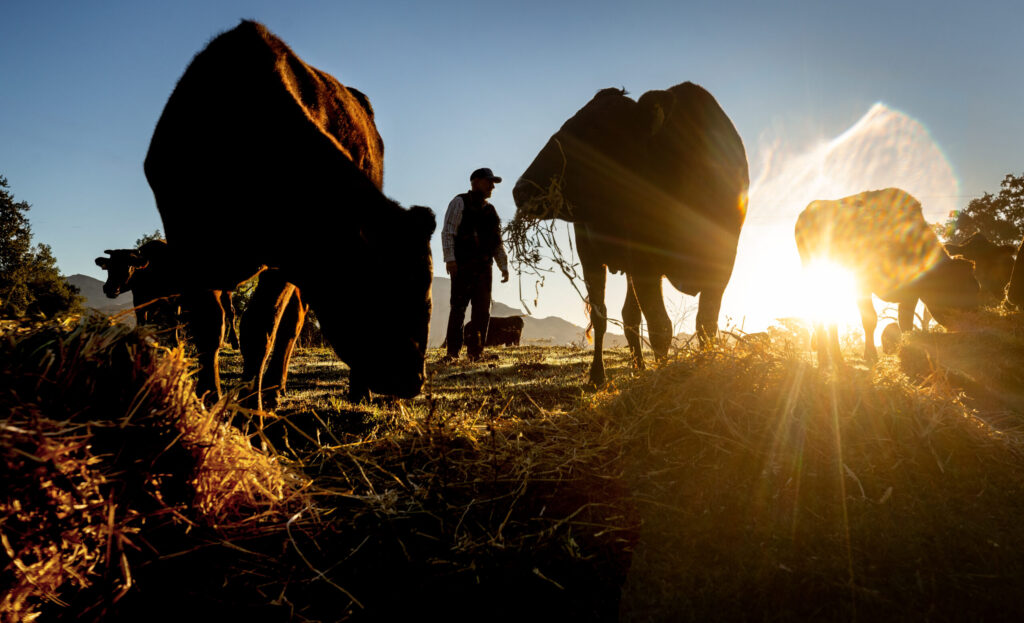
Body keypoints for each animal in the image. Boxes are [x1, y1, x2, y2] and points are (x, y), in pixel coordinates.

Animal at [144, 20, 435, 402]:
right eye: (383, 286)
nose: (414, 379)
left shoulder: (287, 256)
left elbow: (260, 327)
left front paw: (250, 406)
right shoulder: (186, 241)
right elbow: (208, 325)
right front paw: (209, 398)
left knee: (291, 325)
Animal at [512, 83, 749, 385]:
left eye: (596, 130)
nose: (521, 189)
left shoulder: (723, 262)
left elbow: (706, 324)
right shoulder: (644, 262)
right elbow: (660, 326)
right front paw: (664, 380)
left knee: (629, 316)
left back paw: (639, 368)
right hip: (591, 254)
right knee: (601, 315)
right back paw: (598, 375)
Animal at [795, 188, 979, 366]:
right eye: (963, 287)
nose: (974, 325)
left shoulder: (911, 292)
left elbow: (905, 321)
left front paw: (908, 350)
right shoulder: (861, 283)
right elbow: (870, 320)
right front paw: (870, 355)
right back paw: (828, 359)